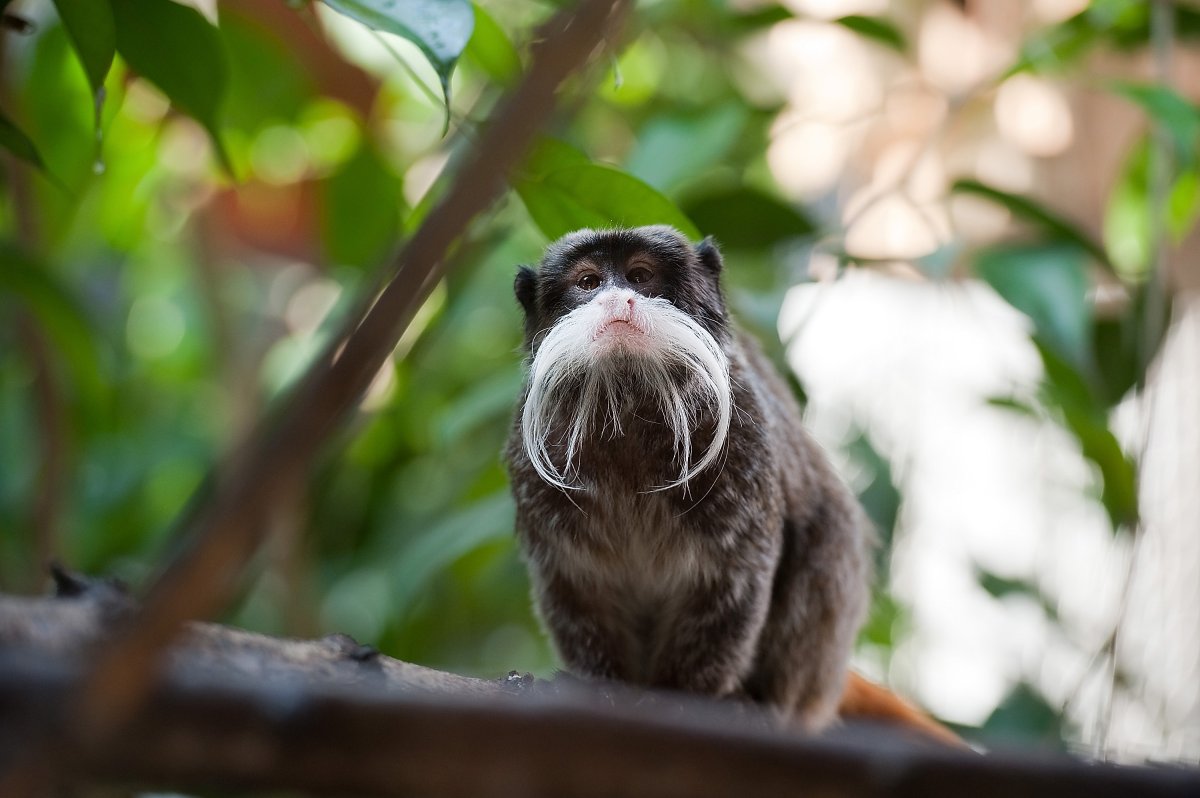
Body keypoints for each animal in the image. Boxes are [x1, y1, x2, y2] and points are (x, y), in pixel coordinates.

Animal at [504, 225, 870, 730]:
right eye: (589, 282)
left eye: (640, 276)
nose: (617, 299)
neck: (627, 404)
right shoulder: (536, 476)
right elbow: (580, 592)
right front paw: (602, 691)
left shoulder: (744, 444)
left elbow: (732, 585)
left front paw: (681, 700)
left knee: (827, 539)